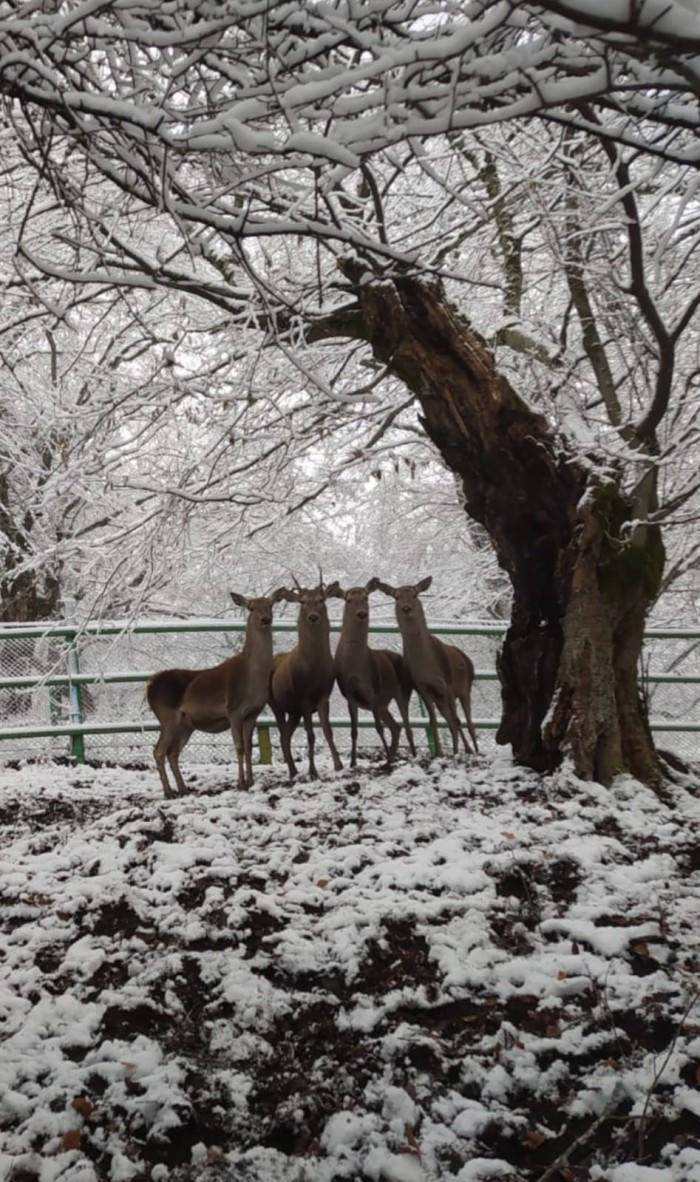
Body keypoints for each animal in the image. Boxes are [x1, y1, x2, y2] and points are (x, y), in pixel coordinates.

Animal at [146, 588, 290, 799]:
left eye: (270, 605)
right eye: (251, 607)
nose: (266, 619)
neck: (253, 681)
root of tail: (149, 686)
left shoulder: (253, 713)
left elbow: (248, 747)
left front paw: (251, 781)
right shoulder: (234, 709)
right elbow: (239, 746)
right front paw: (240, 783)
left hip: (185, 724)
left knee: (172, 752)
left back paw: (183, 788)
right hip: (167, 717)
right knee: (158, 751)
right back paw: (168, 792)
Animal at [268, 579, 345, 780]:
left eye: (321, 599)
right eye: (302, 601)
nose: (313, 617)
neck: (314, 669)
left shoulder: (324, 695)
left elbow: (328, 731)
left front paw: (339, 765)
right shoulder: (303, 697)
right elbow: (310, 735)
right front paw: (312, 771)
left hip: (294, 711)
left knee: (286, 735)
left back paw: (294, 770)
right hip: (275, 703)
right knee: (282, 735)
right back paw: (292, 770)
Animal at [331, 581, 416, 765]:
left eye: (366, 597)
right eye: (348, 600)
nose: (362, 613)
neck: (356, 667)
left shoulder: (374, 689)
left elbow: (378, 728)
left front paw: (385, 759)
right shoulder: (349, 694)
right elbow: (353, 731)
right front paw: (352, 763)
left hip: (403, 690)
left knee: (406, 726)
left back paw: (410, 756)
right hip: (384, 704)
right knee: (396, 727)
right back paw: (391, 758)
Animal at [373, 574, 477, 756]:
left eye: (415, 595)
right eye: (396, 597)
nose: (406, 608)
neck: (427, 668)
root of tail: (466, 658)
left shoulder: (448, 684)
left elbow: (457, 720)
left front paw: (459, 752)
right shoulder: (423, 688)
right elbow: (434, 721)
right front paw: (439, 753)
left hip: (466, 688)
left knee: (468, 721)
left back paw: (474, 750)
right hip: (441, 699)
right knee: (451, 720)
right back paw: (462, 749)